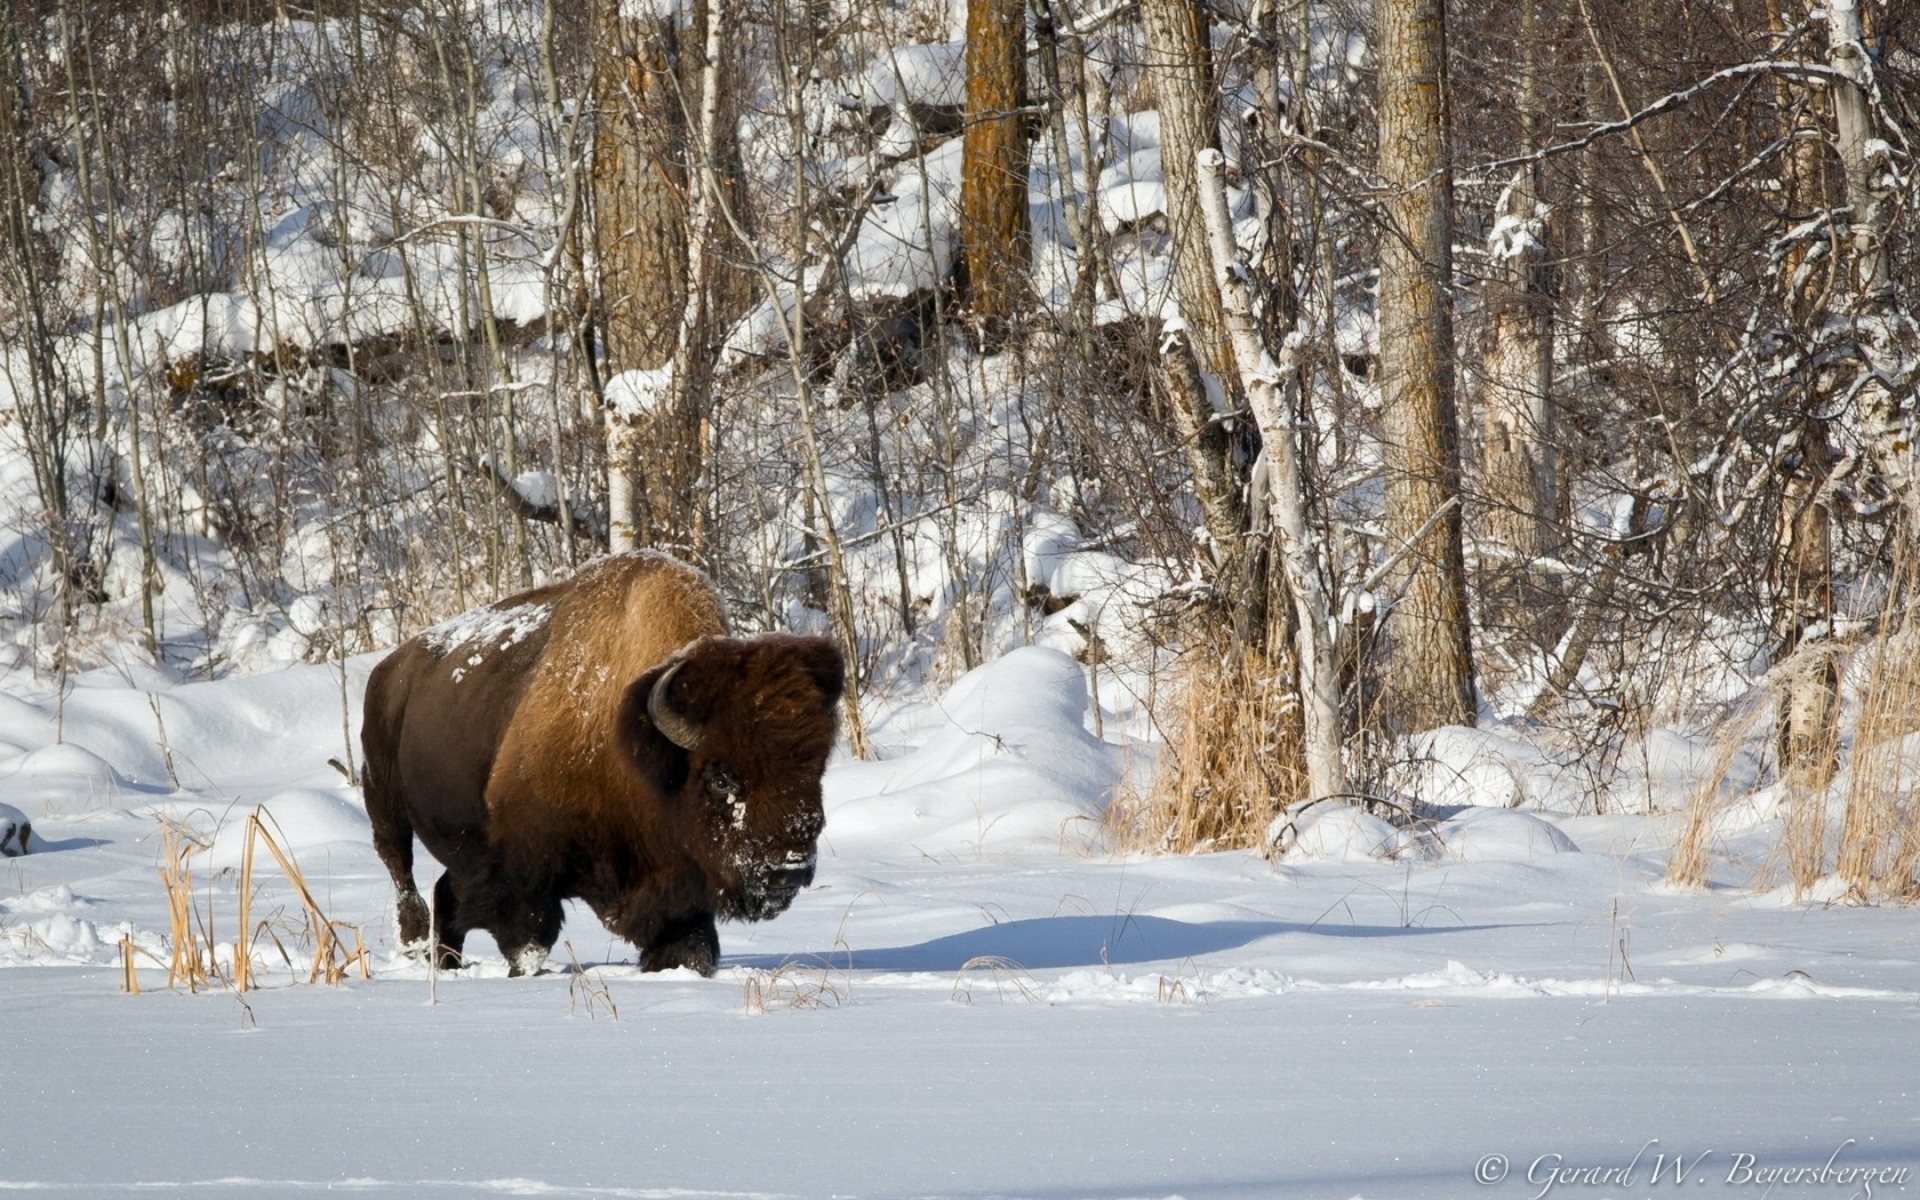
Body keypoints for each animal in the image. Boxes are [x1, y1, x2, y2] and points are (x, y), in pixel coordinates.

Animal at [360, 551, 843, 976]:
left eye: (815, 769)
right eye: (721, 778)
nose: (788, 869)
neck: (633, 752)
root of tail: (389, 669)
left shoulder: (677, 896)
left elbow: (689, 950)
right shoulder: (522, 878)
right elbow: (528, 944)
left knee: (446, 894)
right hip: (384, 803)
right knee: (403, 871)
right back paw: (419, 947)